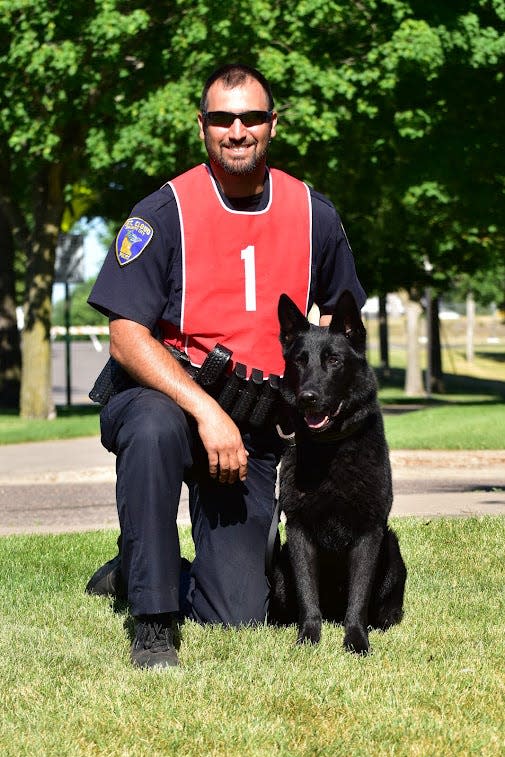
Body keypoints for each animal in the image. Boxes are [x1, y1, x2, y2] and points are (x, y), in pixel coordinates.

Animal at [268, 290, 406, 656]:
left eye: (333, 361)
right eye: (299, 361)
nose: (307, 398)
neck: (330, 449)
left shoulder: (369, 533)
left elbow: (358, 598)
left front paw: (356, 640)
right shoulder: (299, 532)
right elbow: (307, 594)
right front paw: (308, 637)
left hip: (391, 550)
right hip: (280, 567)